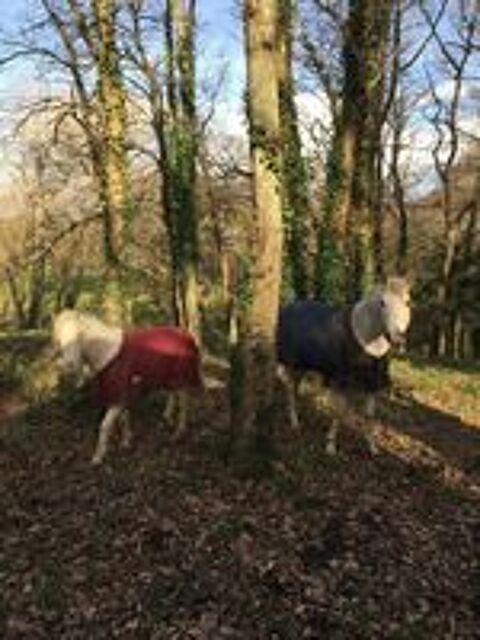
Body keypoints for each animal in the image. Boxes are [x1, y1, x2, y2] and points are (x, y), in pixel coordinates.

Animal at [52, 309, 202, 464]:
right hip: (169, 376)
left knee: (184, 402)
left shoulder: (118, 395)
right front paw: (126, 442)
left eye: (80, 334)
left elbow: (105, 426)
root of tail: (186, 335)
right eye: (59, 336)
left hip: (182, 375)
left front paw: (98, 457)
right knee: (173, 394)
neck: (108, 354)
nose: (69, 364)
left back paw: (179, 432)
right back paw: (166, 416)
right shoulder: (121, 393)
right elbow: (124, 418)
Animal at [276, 277, 411, 455]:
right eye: (382, 303)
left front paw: (372, 447)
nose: (398, 340)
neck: (364, 342)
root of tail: (287, 308)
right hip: (291, 362)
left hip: (302, 366)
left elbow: (370, 415)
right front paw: (330, 446)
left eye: (407, 302)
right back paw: (294, 423)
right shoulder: (341, 381)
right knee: (289, 387)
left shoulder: (372, 383)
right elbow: (338, 412)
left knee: (294, 388)